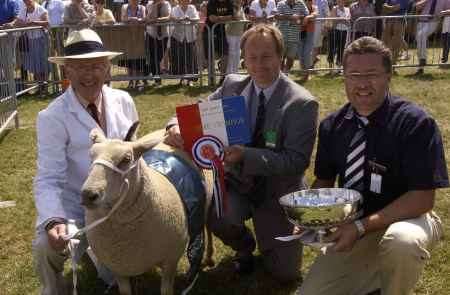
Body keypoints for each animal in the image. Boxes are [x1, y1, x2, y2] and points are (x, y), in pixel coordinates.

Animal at [81, 128, 214, 295]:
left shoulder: (170, 260)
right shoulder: (117, 267)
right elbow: (125, 291)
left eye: (126, 159)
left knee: (208, 227)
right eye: (91, 156)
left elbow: (166, 290)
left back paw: (209, 257)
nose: (88, 195)